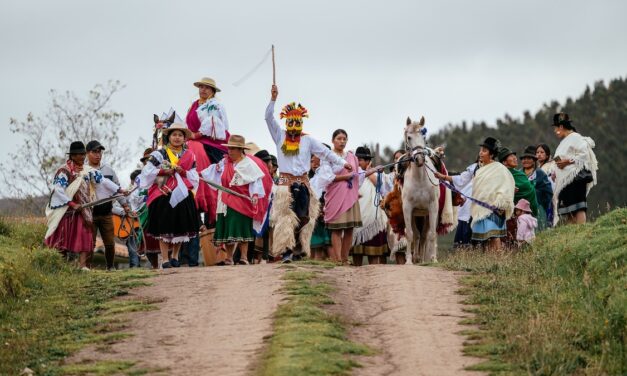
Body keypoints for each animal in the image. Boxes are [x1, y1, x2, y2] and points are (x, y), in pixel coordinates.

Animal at [402, 116, 442, 262]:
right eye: (409, 137)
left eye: (424, 137)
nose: (419, 159)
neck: (419, 179)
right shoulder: (408, 208)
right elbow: (410, 234)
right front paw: (409, 260)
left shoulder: (433, 207)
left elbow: (432, 234)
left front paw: (433, 259)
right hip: (416, 214)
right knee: (417, 235)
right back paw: (417, 258)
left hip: (426, 214)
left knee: (424, 235)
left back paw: (424, 259)